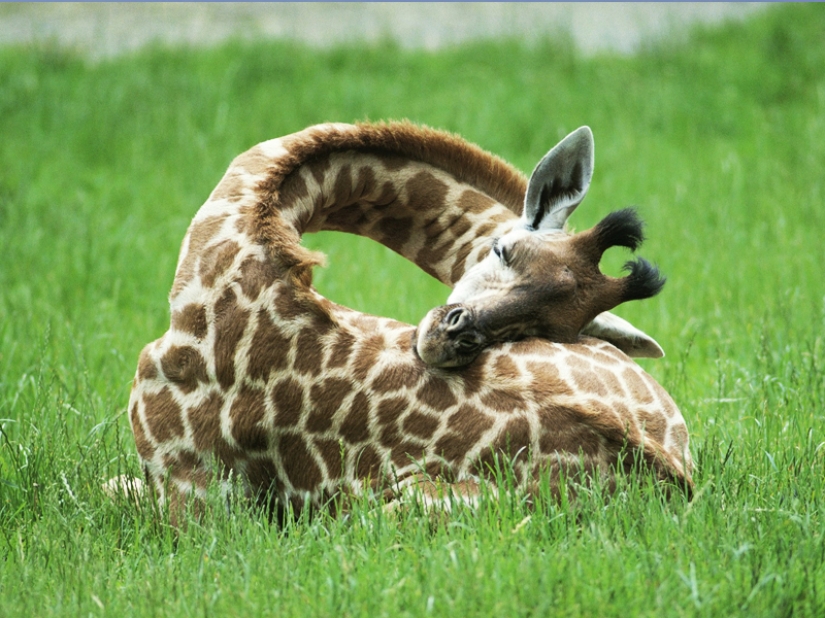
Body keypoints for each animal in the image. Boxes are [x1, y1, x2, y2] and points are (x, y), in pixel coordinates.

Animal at [123, 122, 693, 524]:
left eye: (555, 326)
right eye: (502, 250)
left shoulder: (187, 490)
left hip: (395, 509)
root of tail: (673, 480)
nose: (453, 337)